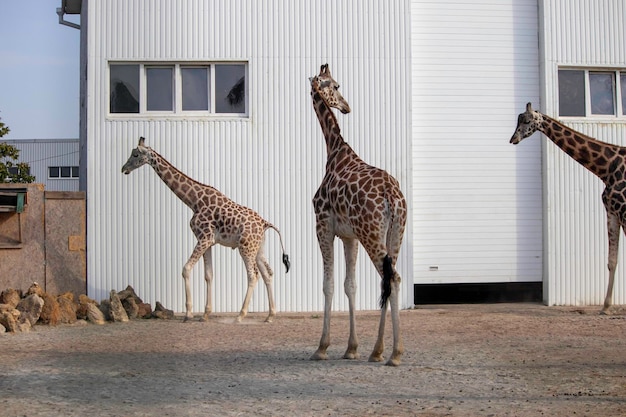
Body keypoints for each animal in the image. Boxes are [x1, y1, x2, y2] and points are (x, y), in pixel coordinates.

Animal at [120, 136, 288, 322]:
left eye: (135, 154)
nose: (123, 169)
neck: (193, 201)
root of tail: (265, 223)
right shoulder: (208, 241)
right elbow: (208, 275)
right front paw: (205, 314)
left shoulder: (204, 237)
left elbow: (185, 269)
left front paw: (188, 314)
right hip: (258, 248)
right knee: (268, 274)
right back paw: (270, 315)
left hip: (246, 247)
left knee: (253, 276)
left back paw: (240, 315)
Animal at [306, 63, 404, 366]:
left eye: (336, 84)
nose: (347, 106)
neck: (334, 149)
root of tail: (392, 196)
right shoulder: (350, 236)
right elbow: (351, 285)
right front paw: (352, 348)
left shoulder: (323, 225)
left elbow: (328, 284)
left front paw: (322, 347)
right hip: (394, 235)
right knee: (389, 279)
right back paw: (378, 351)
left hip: (372, 235)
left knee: (392, 279)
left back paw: (395, 353)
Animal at [512, 103, 624, 312]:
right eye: (519, 119)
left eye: (527, 120)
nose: (512, 139)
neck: (607, 168)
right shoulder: (612, 210)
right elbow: (612, 261)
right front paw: (605, 307)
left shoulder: (622, 208)